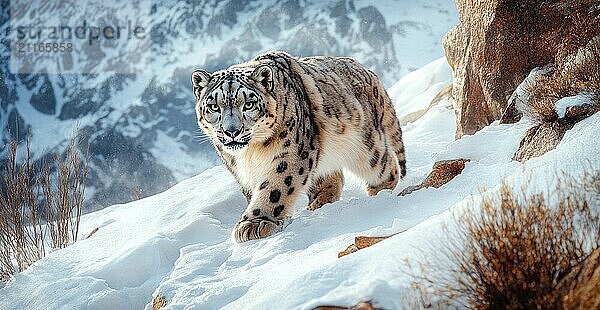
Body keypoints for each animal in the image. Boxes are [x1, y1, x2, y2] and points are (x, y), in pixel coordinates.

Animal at [191, 50, 408, 242]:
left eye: (249, 104)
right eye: (214, 106)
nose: (231, 131)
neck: (251, 153)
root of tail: (369, 72)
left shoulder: (290, 154)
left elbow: (276, 187)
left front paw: (254, 223)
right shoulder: (238, 169)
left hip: (366, 146)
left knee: (386, 166)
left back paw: (380, 194)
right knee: (331, 176)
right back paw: (318, 204)